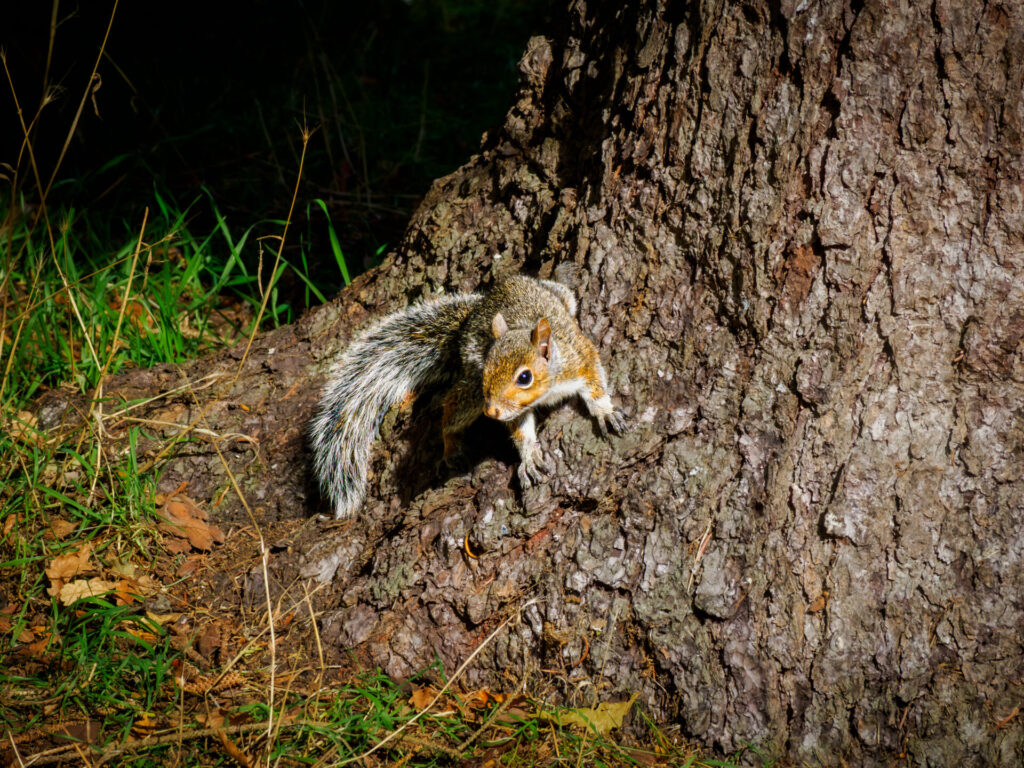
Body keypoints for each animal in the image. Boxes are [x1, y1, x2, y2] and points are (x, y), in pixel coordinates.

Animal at [310, 275, 626, 519]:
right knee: (451, 408)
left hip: (560, 297)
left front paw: (605, 411)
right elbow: (520, 431)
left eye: (525, 377)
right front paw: (528, 457)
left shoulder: (579, 359)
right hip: (472, 392)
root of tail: (474, 311)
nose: (492, 413)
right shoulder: (504, 403)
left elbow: (595, 382)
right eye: (488, 369)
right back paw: (451, 447)